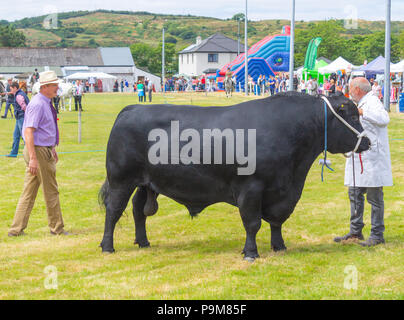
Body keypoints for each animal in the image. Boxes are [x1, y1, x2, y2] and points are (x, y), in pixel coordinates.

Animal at [98, 91, 370, 262]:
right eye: (352, 116)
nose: (367, 142)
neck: (295, 171)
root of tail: (133, 108)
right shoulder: (251, 188)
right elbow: (253, 223)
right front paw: (251, 253)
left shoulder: (283, 192)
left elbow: (277, 221)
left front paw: (279, 246)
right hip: (121, 179)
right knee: (114, 210)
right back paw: (108, 246)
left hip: (146, 183)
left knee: (138, 210)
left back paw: (143, 241)